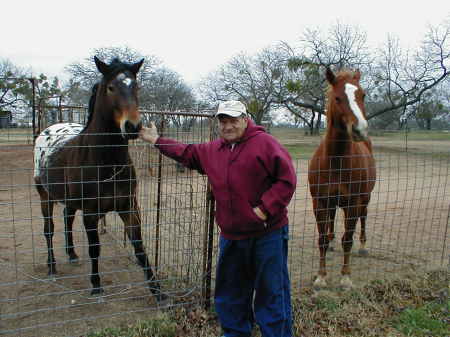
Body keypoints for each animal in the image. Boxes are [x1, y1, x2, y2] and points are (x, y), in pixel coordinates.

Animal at [33, 56, 166, 300]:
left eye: (136, 86)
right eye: (111, 87)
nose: (132, 126)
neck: (106, 162)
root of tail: (48, 130)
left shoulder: (129, 207)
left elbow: (139, 246)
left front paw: (157, 290)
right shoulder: (91, 213)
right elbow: (95, 249)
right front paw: (96, 285)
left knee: (67, 218)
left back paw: (72, 255)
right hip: (44, 196)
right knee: (49, 229)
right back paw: (52, 266)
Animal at [310, 67, 376, 288]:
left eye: (363, 95)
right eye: (337, 98)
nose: (360, 129)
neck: (336, 159)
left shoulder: (353, 203)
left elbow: (347, 239)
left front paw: (346, 277)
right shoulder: (320, 202)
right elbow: (321, 239)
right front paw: (321, 277)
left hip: (365, 199)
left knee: (364, 217)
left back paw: (363, 247)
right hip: (332, 203)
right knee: (331, 221)